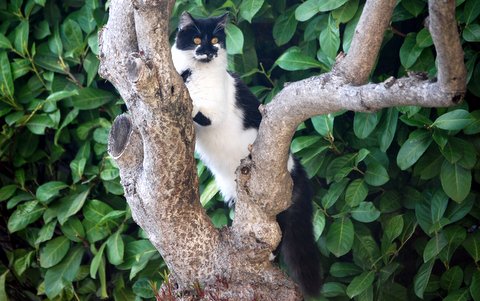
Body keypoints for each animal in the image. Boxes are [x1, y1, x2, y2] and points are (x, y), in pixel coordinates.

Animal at [171, 11, 320, 296]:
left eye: (215, 40)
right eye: (196, 38)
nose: (208, 50)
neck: (193, 72)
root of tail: (295, 165)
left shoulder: (213, 110)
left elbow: (197, 108)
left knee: (278, 228)